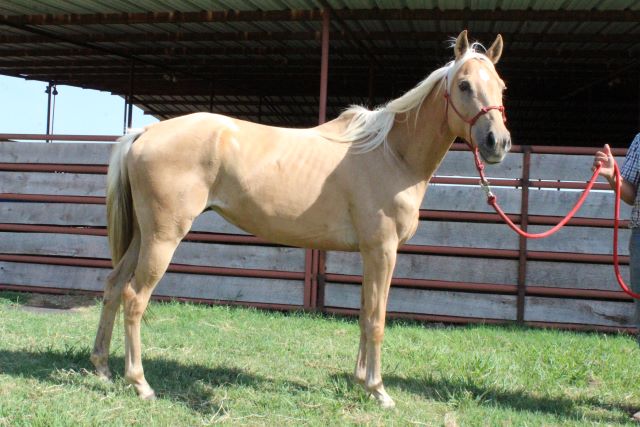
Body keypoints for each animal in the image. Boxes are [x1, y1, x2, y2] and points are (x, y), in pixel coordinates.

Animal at [91, 30, 510, 408]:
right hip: (163, 237)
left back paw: (103, 369)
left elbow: (363, 315)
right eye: (464, 85)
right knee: (134, 298)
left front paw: (360, 382)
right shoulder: (383, 250)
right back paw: (140, 383)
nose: (498, 143)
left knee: (113, 287)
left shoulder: (369, 253)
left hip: (142, 236)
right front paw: (379, 391)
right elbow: (377, 320)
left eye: (501, 87)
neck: (390, 154)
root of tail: (146, 132)